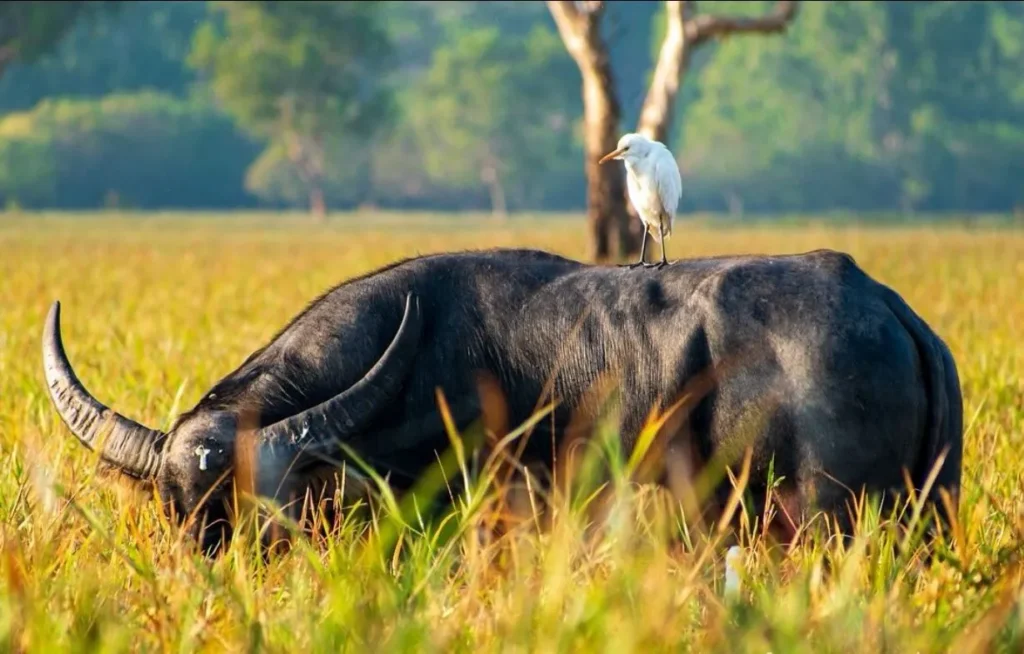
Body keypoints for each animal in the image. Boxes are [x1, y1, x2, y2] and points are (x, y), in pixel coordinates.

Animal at [41, 247, 958, 556]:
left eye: (262, 511)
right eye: (174, 506)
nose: (210, 568)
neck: (416, 363)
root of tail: (888, 308)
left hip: (834, 522)